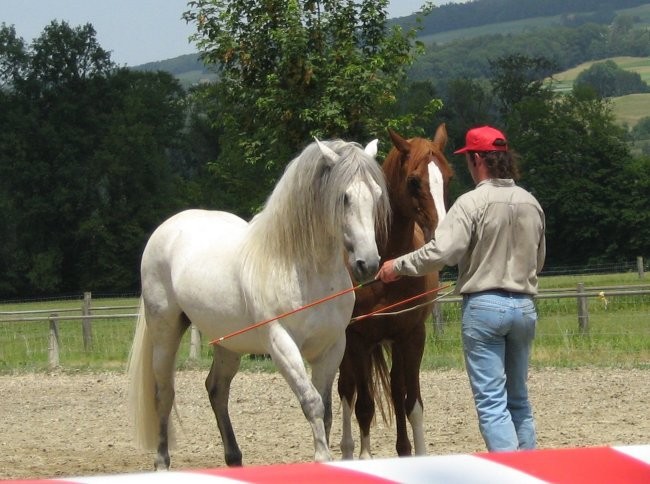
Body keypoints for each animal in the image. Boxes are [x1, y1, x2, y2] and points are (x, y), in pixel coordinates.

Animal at [128, 137, 390, 468]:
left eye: (377, 194)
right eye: (344, 197)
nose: (368, 264)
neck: (301, 268)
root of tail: (167, 229)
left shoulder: (332, 347)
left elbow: (327, 408)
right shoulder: (281, 343)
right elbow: (312, 402)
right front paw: (321, 457)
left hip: (228, 344)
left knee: (216, 389)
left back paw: (234, 458)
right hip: (165, 332)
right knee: (164, 393)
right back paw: (162, 461)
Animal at [340, 124, 450, 458]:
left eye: (448, 176)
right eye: (414, 181)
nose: (443, 236)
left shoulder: (412, 335)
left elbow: (412, 402)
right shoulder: (358, 340)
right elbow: (364, 406)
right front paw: (363, 457)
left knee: (394, 386)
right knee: (346, 390)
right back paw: (346, 450)